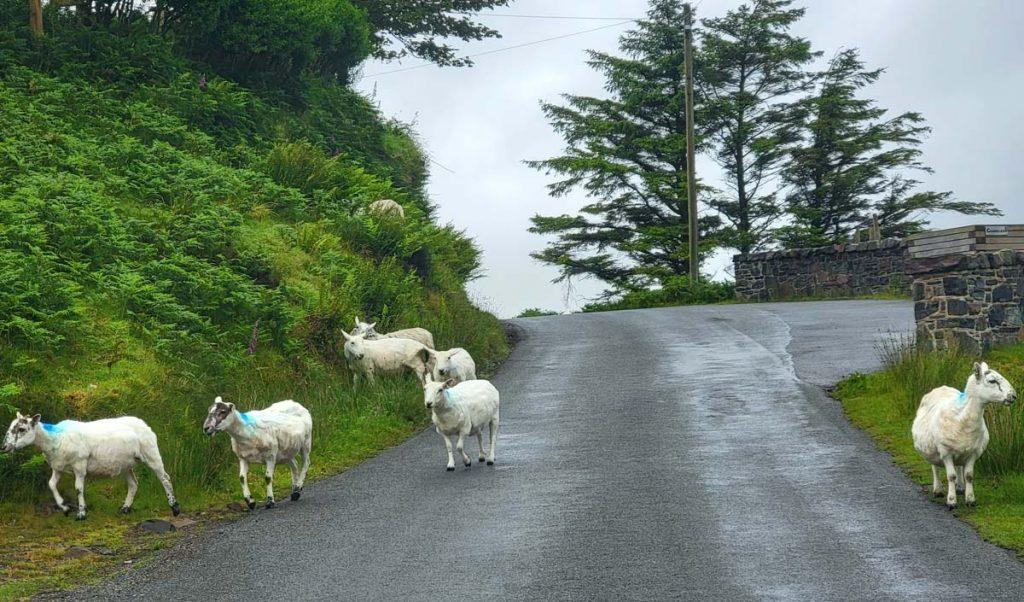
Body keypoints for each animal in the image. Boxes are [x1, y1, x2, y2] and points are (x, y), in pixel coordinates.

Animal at [1, 413, 180, 520]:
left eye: (22, 429)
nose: (4, 447)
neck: (54, 438)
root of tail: (143, 423)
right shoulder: (58, 466)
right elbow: (51, 485)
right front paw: (64, 507)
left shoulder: (80, 465)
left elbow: (78, 488)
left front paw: (81, 513)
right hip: (125, 463)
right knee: (133, 484)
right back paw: (125, 509)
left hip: (150, 452)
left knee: (165, 478)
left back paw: (174, 508)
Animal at [912, 361, 1017, 509]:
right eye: (992, 381)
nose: (1013, 396)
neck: (963, 417)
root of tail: (941, 387)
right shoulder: (946, 452)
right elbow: (950, 476)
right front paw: (951, 501)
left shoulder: (973, 452)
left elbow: (969, 475)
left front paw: (970, 499)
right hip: (932, 447)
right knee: (935, 467)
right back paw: (938, 490)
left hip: (961, 449)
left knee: (959, 467)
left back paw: (961, 488)